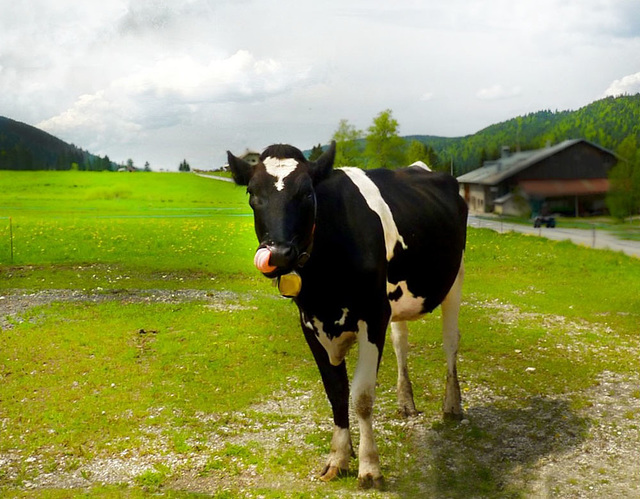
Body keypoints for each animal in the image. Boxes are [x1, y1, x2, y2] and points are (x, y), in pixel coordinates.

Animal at [228, 141, 468, 488]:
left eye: (308, 192)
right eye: (252, 193)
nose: (279, 254)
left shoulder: (373, 316)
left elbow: (362, 397)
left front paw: (369, 468)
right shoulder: (309, 323)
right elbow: (336, 392)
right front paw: (339, 457)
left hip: (455, 279)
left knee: (450, 342)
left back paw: (452, 405)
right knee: (401, 343)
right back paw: (405, 402)